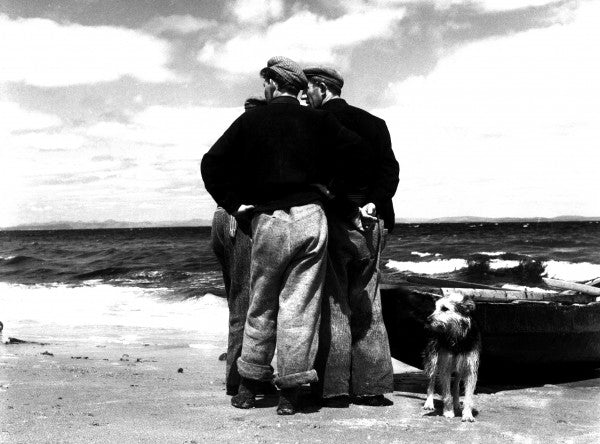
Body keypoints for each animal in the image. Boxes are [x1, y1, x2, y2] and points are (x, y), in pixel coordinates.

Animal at [424, 294, 480, 422]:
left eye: (444, 308)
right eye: (435, 308)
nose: (428, 320)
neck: (457, 338)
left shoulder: (470, 369)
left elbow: (468, 396)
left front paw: (467, 414)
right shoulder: (445, 366)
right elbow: (447, 394)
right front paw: (448, 412)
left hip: (460, 368)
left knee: (456, 386)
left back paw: (457, 404)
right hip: (433, 360)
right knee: (431, 382)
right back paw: (429, 403)